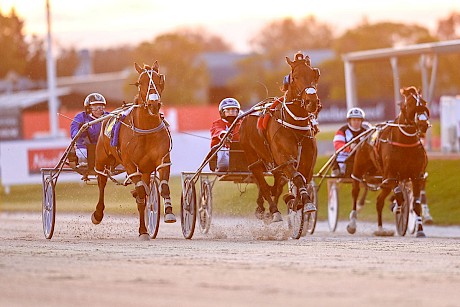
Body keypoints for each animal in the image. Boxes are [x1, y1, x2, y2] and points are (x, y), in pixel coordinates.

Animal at [92, 60, 175, 238]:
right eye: (139, 82)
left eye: (159, 79)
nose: (153, 104)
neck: (146, 129)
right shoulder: (131, 166)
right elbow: (141, 195)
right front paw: (143, 230)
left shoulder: (163, 160)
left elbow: (163, 187)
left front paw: (169, 213)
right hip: (101, 159)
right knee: (101, 182)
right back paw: (98, 214)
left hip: (145, 170)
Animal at [239, 51, 322, 223]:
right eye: (295, 76)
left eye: (314, 74)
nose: (311, 102)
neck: (294, 122)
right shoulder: (284, 158)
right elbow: (297, 177)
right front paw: (303, 203)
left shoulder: (307, 161)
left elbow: (303, 179)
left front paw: (298, 202)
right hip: (253, 157)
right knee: (261, 182)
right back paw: (274, 210)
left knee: (276, 184)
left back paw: (264, 207)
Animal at [348, 86, 432, 238]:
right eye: (410, 103)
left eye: (424, 102)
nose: (423, 124)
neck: (405, 143)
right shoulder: (391, 175)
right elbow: (399, 194)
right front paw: (396, 207)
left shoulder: (417, 176)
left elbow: (416, 204)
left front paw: (420, 230)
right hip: (359, 169)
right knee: (355, 191)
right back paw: (352, 223)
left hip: (383, 179)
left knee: (379, 201)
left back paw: (381, 229)